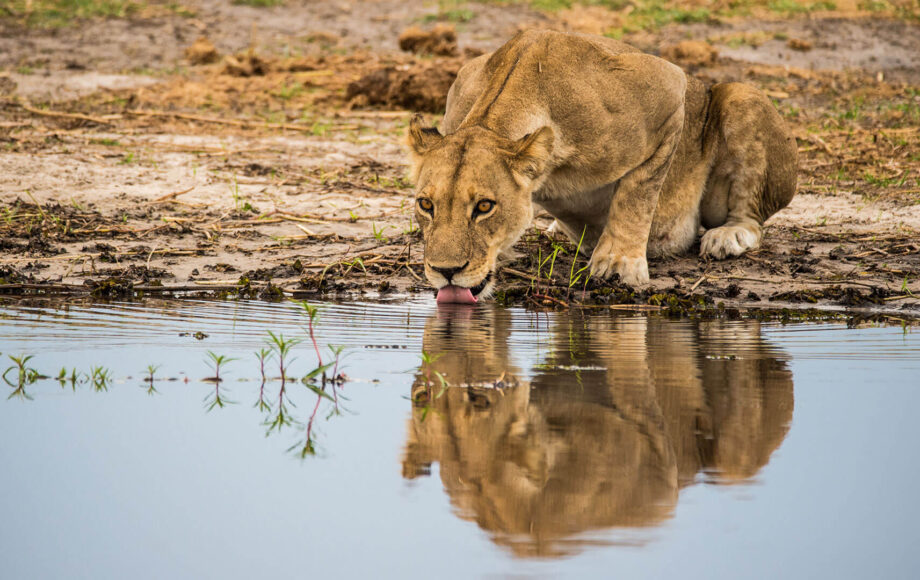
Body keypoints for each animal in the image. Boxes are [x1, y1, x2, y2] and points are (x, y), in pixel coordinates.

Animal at [407, 30, 798, 303]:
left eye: (485, 206)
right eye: (426, 205)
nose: (446, 272)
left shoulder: (668, 90)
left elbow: (637, 193)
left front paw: (619, 264)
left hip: (742, 97)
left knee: (750, 217)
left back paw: (727, 236)